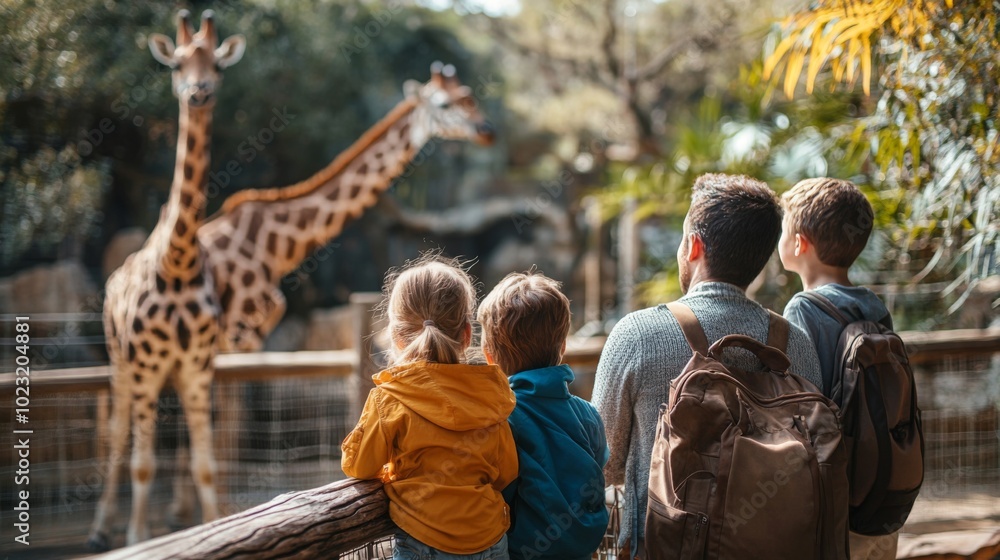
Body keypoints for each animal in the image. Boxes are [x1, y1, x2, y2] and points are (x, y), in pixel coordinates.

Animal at [87, 10, 245, 551]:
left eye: (217, 64)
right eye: (177, 64)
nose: (198, 92)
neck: (176, 262)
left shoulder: (196, 370)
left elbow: (204, 464)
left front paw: (216, 526)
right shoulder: (145, 369)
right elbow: (142, 462)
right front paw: (137, 538)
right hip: (120, 364)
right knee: (116, 433)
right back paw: (102, 529)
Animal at [197, 62, 495, 352]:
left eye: (470, 97)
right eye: (444, 104)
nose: (486, 131)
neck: (275, 250)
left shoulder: (249, 336)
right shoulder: (238, 333)